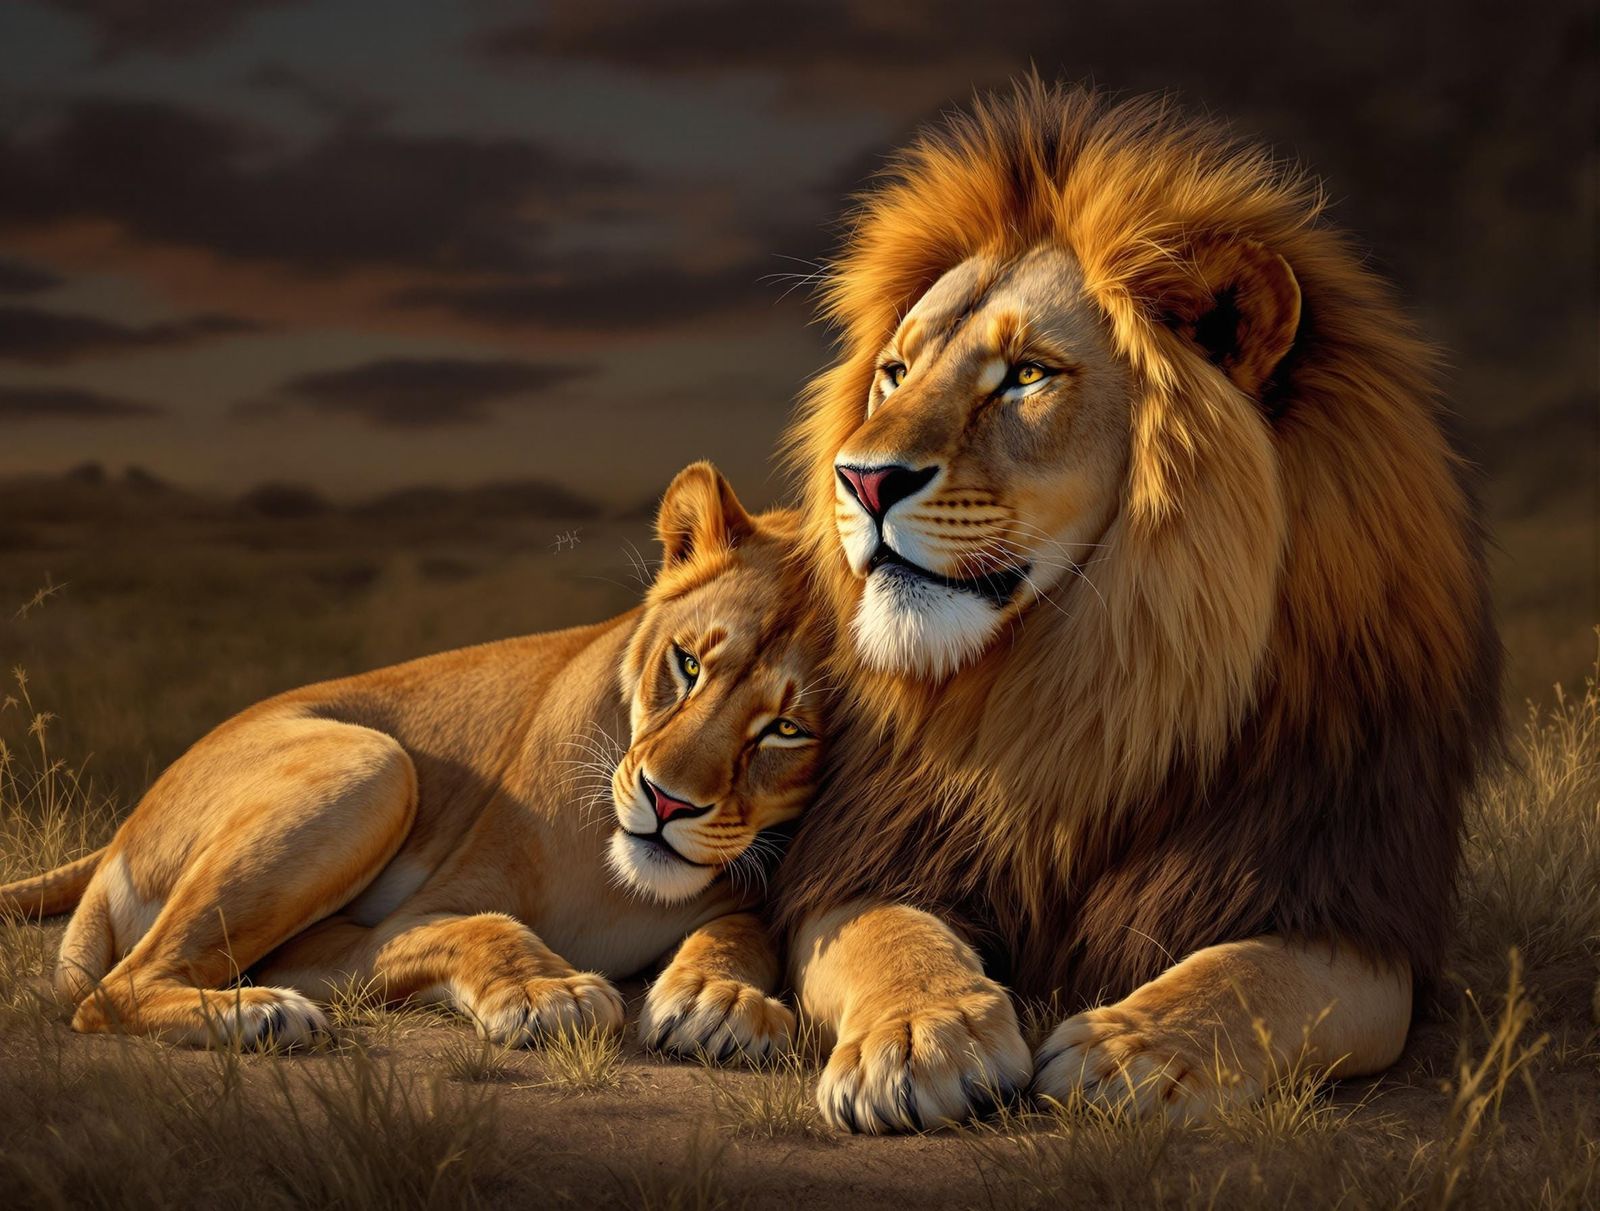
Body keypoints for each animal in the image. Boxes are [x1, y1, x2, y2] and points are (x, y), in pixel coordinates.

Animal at [0, 463, 831, 1061]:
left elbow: (743, 929)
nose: (666, 802)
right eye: (687, 663)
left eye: (788, 728)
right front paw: (548, 991)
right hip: (375, 763)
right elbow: (481, 925)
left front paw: (718, 1000)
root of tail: (121, 828)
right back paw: (260, 1015)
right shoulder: (358, 940)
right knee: (111, 990)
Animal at [771, 79, 1501, 1132]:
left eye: (1028, 374)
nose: (862, 479)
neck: (1093, 672)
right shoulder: (868, 849)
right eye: (896, 372)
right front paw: (917, 1035)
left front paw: (1134, 1046)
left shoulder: (1340, 890)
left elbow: (1248, 974)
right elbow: (890, 933)